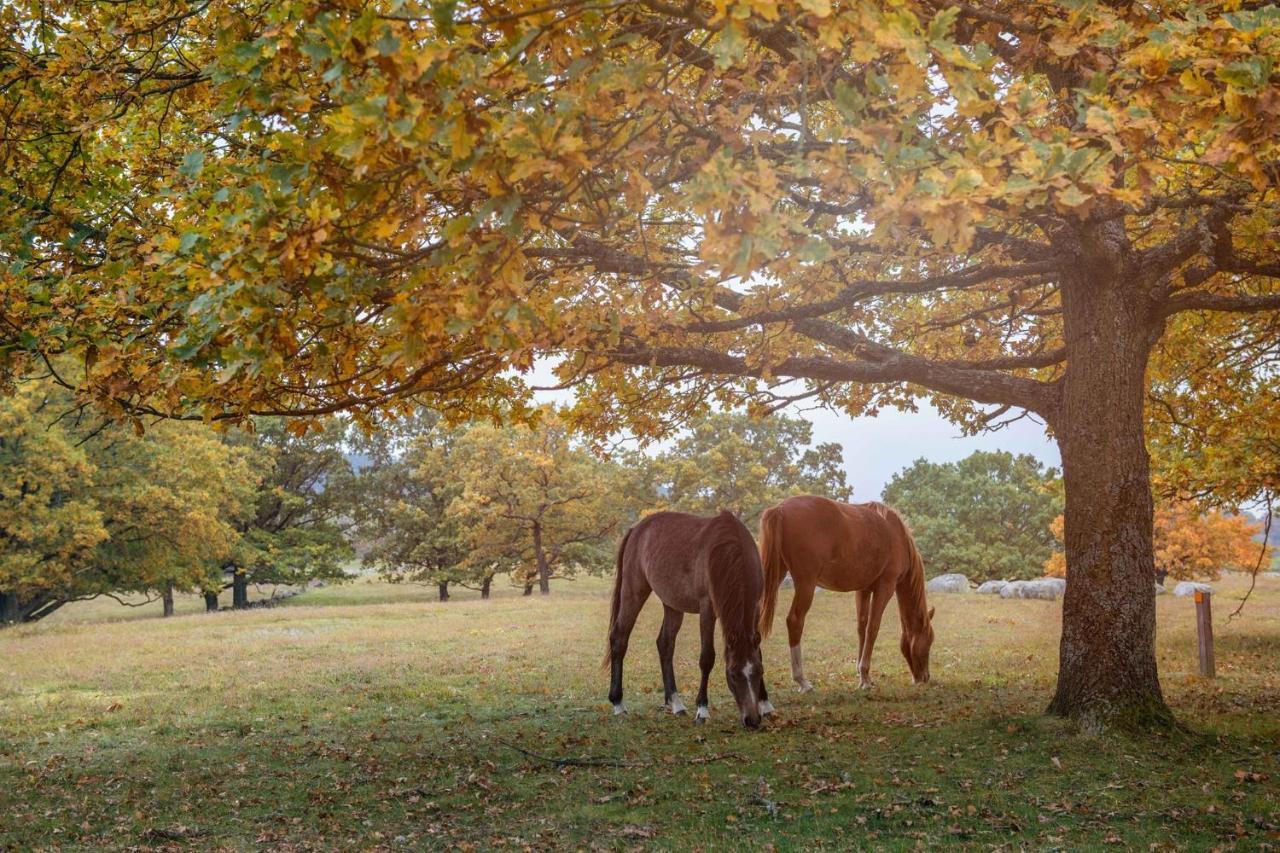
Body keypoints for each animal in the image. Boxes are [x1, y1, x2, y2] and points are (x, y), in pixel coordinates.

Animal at [601, 507, 768, 727]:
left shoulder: (755, 608)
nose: (752, 720)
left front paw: (766, 705)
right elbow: (707, 658)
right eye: (732, 674)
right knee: (619, 638)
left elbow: (759, 652)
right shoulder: (707, 608)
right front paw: (702, 709)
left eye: (759, 672)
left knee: (665, 644)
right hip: (633, 592)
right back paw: (618, 703)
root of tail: (636, 529)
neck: (730, 550)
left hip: (672, 604)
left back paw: (676, 703)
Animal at [752, 494, 936, 686]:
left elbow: (862, 626)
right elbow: (873, 628)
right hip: (805, 585)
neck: (896, 535)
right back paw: (801, 680)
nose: (925, 677)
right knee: (795, 621)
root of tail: (780, 509)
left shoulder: (863, 590)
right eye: (929, 640)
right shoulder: (885, 588)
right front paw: (865, 674)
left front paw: (861, 675)